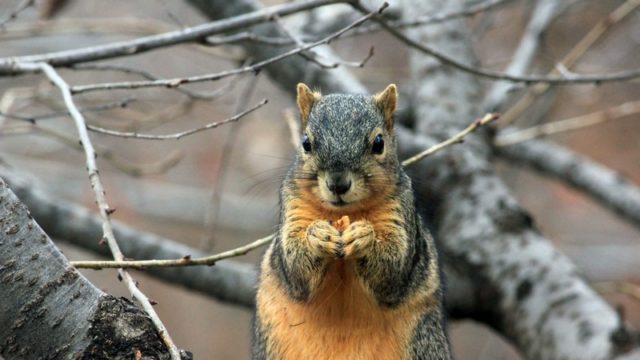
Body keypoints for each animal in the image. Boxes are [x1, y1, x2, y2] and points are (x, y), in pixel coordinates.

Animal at [250, 83, 450, 358]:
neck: (342, 215)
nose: (338, 184)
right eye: (306, 143)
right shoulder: (293, 207)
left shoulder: (400, 211)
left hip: (424, 342)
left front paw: (364, 237)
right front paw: (317, 236)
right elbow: (294, 267)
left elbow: (393, 269)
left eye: (379, 143)